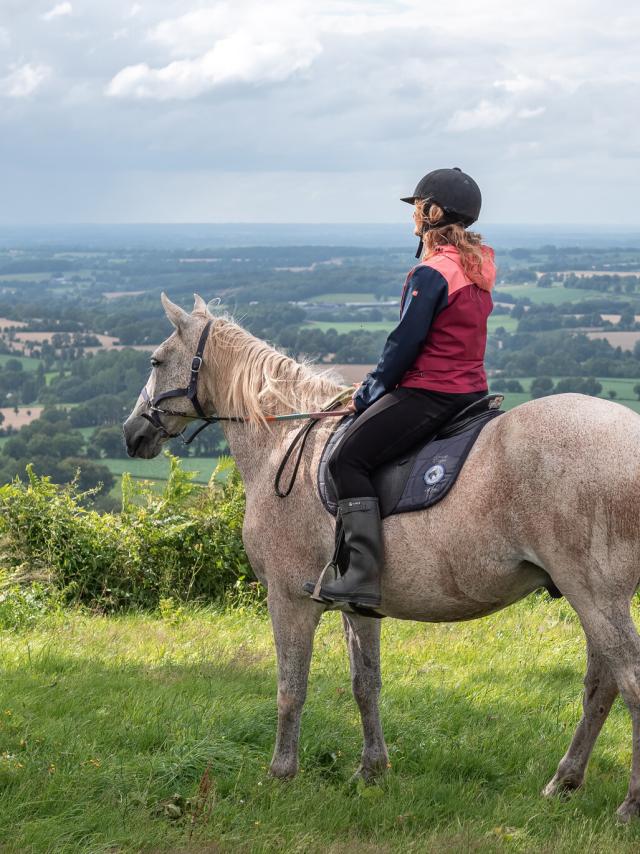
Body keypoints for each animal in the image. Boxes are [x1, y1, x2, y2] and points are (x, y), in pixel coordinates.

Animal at [122, 294, 640, 824]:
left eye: (156, 361)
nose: (131, 434)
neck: (283, 444)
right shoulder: (357, 605)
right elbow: (364, 683)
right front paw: (371, 770)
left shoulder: (288, 601)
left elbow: (291, 688)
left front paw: (280, 774)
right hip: (592, 598)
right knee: (601, 685)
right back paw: (564, 782)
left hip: (595, 595)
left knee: (629, 684)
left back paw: (628, 805)